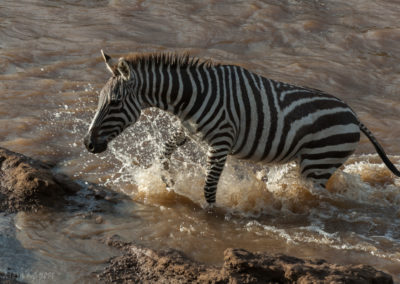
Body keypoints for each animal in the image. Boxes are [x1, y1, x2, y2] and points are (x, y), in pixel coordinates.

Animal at [83, 50, 398, 206]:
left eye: (114, 102)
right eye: (99, 100)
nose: (87, 143)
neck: (191, 98)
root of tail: (353, 115)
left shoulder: (221, 142)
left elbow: (209, 186)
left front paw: (211, 215)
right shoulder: (188, 131)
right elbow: (164, 151)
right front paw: (168, 182)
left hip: (318, 164)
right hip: (317, 162)